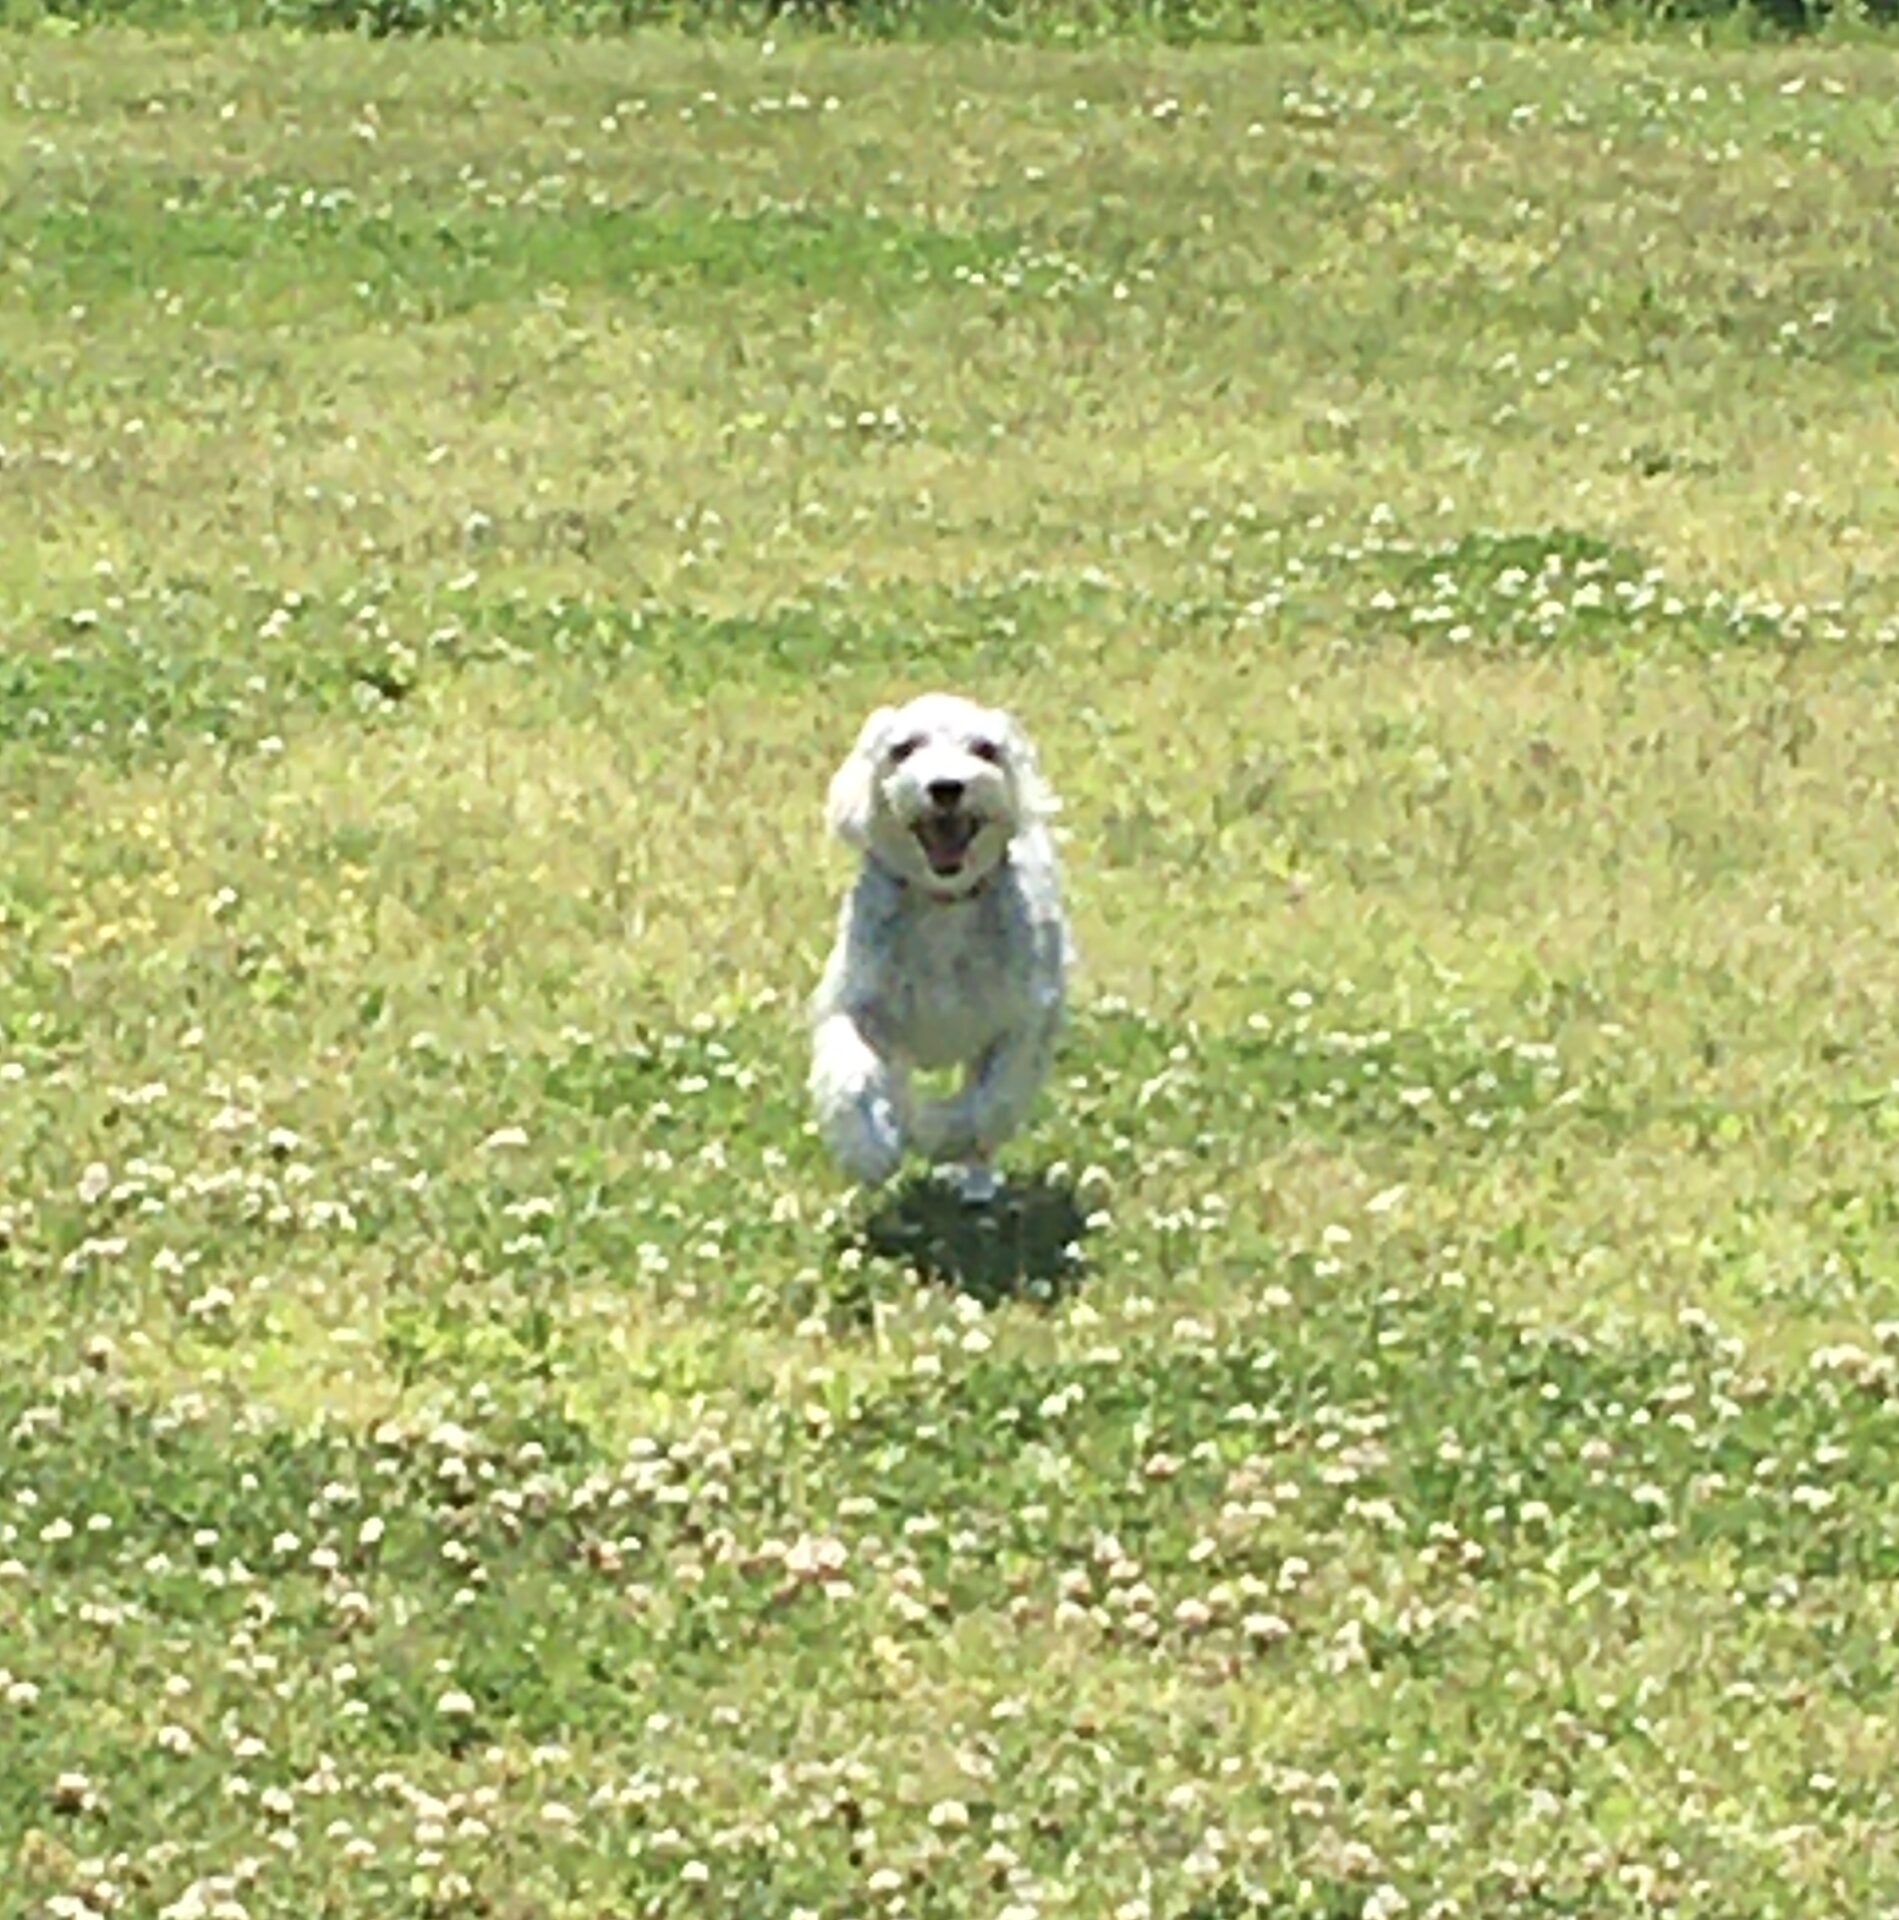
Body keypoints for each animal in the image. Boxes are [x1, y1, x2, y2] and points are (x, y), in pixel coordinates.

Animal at [808, 692, 1071, 1204]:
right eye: (903, 748)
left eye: (985, 749)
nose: (946, 786)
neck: (943, 905)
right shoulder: (857, 1000)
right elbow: (851, 1070)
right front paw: (869, 1145)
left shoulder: (1022, 1021)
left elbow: (989, 1103)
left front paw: (934, 1131)